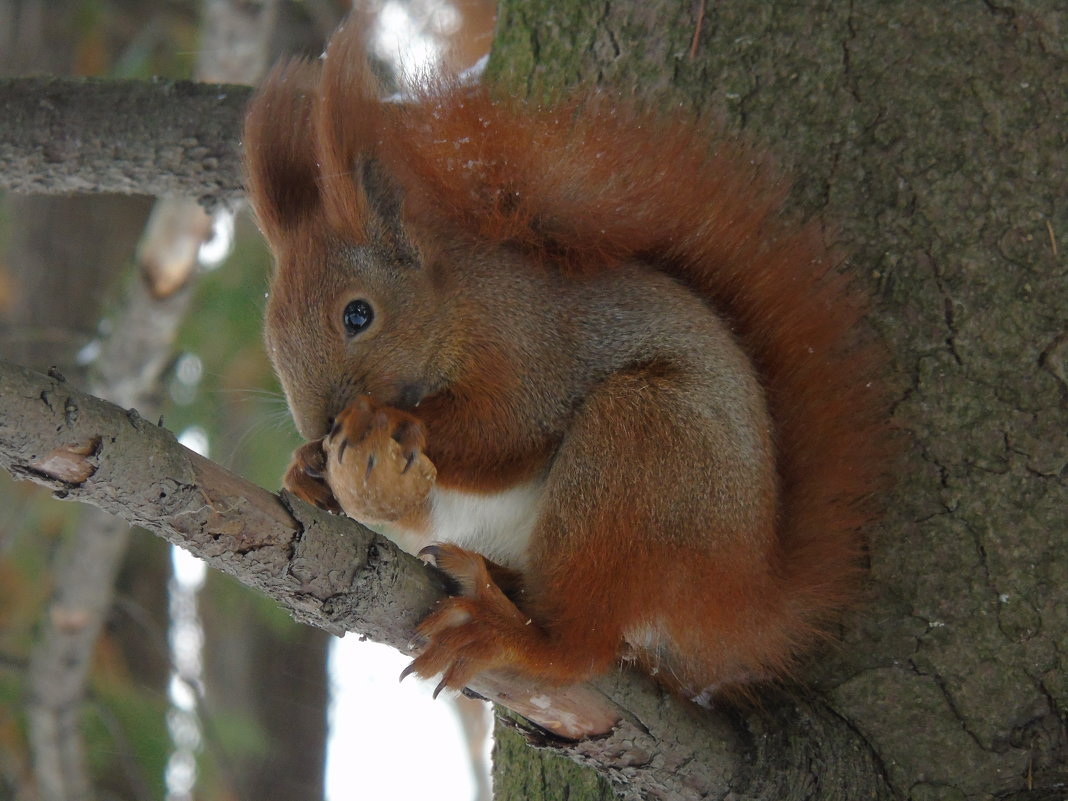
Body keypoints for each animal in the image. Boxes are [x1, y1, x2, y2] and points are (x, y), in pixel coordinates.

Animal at [244, 23, 892, 700]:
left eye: (358, 315)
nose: (320, 425)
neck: (458, 305)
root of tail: (741, 603)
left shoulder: (533, 348)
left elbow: (507, 432)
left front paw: (391, 424)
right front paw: (306, 469)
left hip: (642, 452)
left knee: (583, 646)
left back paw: (510, 633)